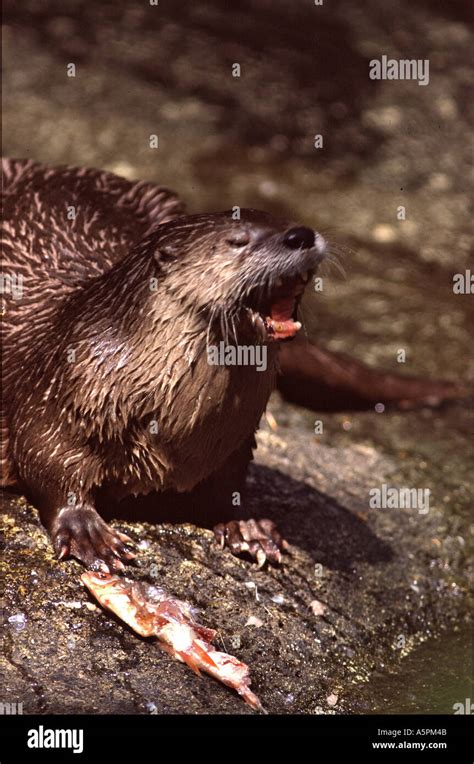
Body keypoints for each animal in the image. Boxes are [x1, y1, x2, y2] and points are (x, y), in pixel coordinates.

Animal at [0, 158, 466, 572]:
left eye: (286, 219)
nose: (301, 234)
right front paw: (86, 530)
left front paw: (246, 525)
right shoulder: (61, 393)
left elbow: (230, 481)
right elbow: (47, 462)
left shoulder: (235, 438)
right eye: (239, 240)